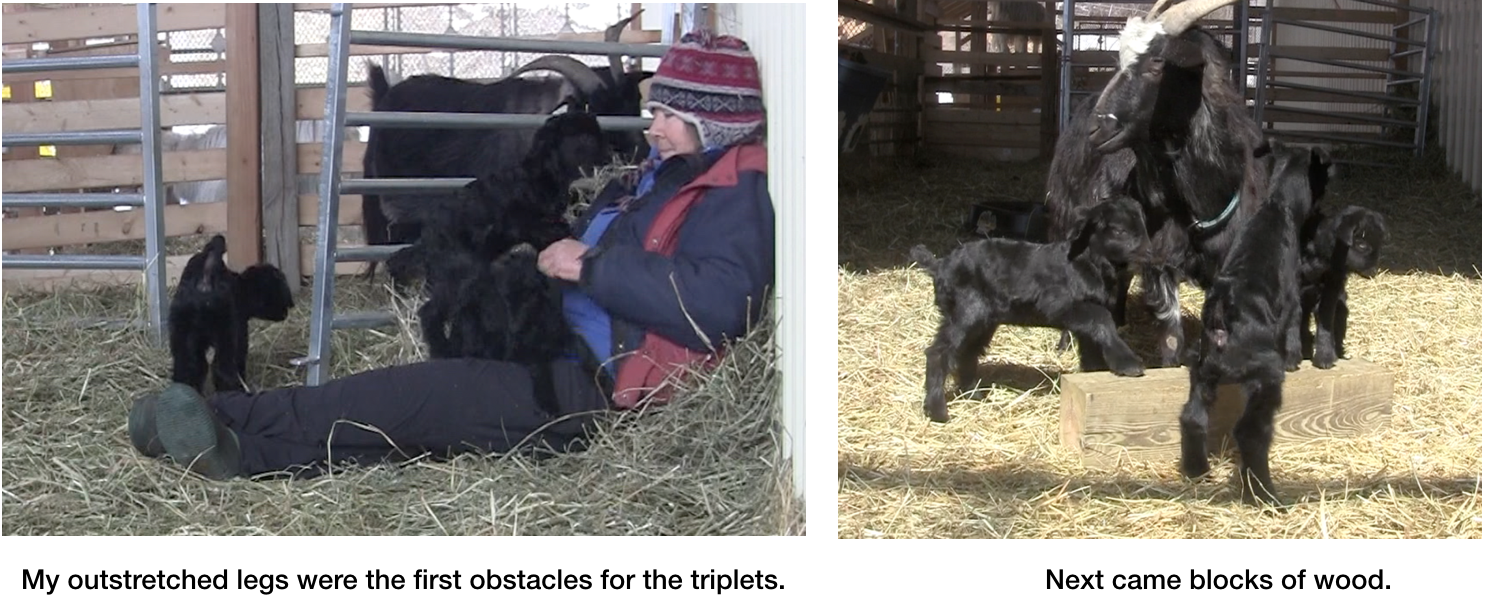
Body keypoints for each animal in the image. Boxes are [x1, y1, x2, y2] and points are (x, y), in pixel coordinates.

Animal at [169, 235, 295, 394]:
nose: (290, 306)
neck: (241, 289)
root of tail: (206, 277)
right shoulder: (239, 329)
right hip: (225, 334)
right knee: (222, 368)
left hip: (182, 333)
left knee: (187, 368)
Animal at [912, 195, 1149, 423]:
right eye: (1120, 230)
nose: (1149, 253)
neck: (1088, 263)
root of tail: (940, 265)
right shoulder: (1059, 304)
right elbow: (1102, 319)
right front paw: (1129, 363)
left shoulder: (1084, 321)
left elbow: (1092, 348)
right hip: (966, 312)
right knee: (938, 353)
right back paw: (937, 411)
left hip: (983, 321)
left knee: (966, 353)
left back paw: (973, 394)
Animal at [1047, 0, 1264, 369]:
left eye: (1157, 63)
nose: (1096, 129)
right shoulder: (1161, 262)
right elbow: (1172, 339)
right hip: (1066, 217)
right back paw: (1066, 340)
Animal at [1180, 140, 1331, 507]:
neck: (1278, 206)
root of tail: (1220, 320)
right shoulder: (1292, 299)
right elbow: (1293, 329)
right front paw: (1295, 359)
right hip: (1264, 379)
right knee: (1250, 433)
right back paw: (1265, 492)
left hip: (1201, 375)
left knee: (1193, 417)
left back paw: (1197, 470)